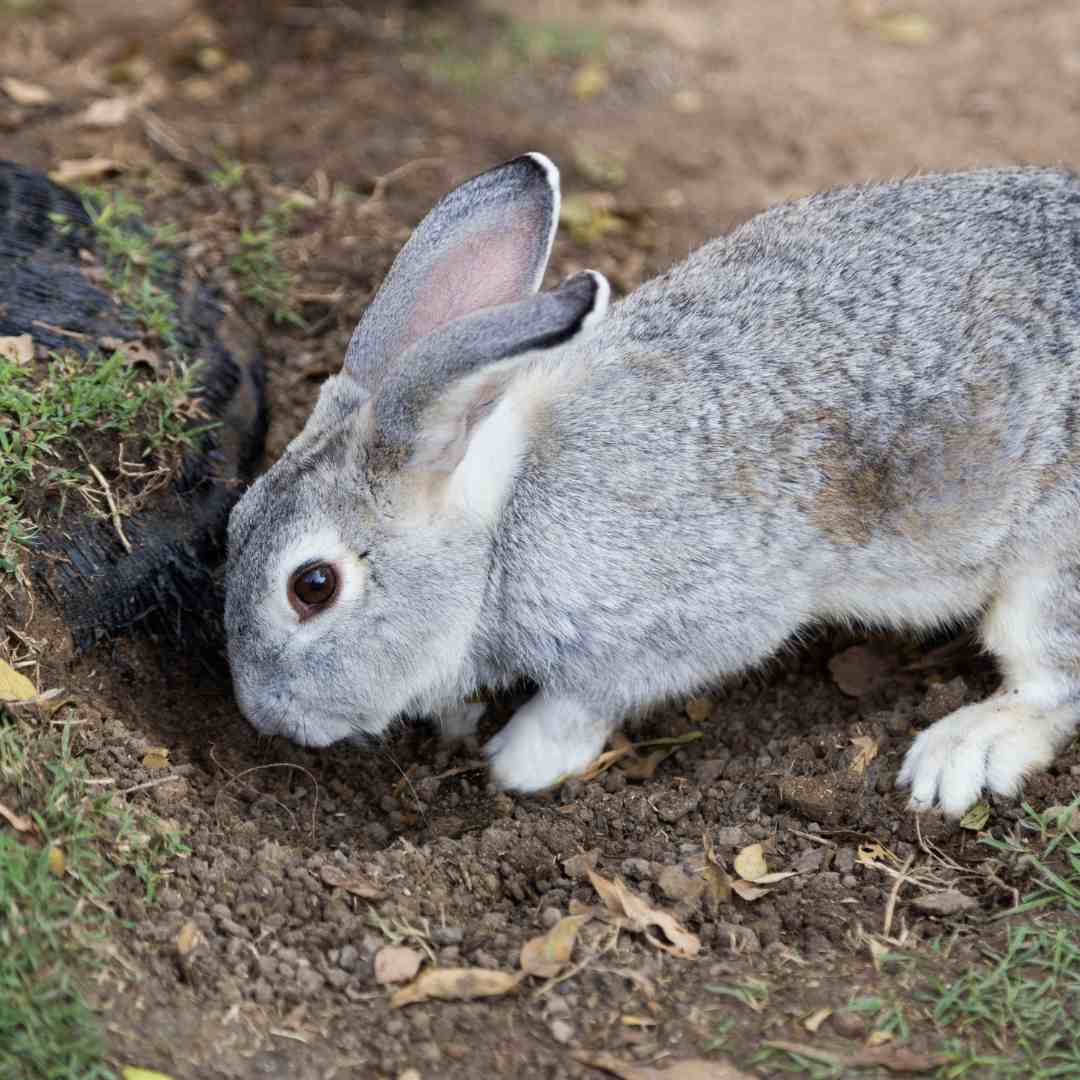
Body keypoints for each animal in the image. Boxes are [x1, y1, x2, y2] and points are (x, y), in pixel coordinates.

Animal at [223, 150, 1080, 812]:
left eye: (312, 586)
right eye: (233, 522)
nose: (263, 715)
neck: (502, 527)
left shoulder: (681, 626)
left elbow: (585, 700)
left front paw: (518, 761)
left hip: (1050, 570)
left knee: (1050, 680)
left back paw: (960, 753)